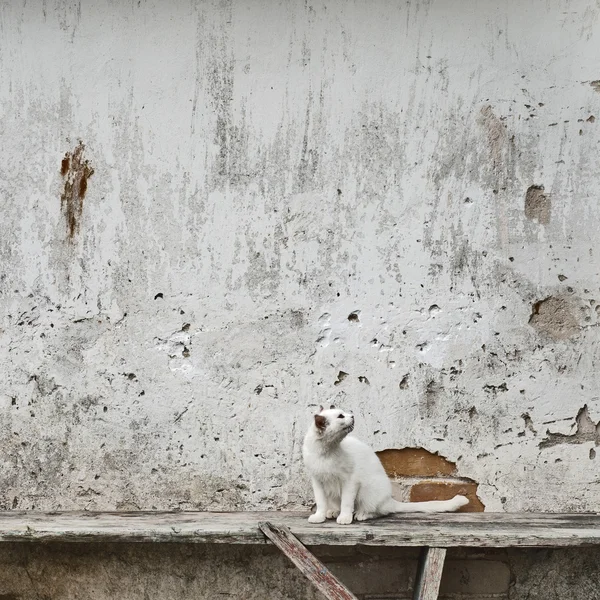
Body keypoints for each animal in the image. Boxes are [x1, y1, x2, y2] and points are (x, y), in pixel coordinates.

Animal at [304, 406, 468, 524]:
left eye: (343, 413)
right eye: (341, 416)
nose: (352, 415)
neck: (326, 452)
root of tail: (390, 500)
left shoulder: (350, 481)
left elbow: (346, 502)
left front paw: (345, 518)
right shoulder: (317, 481)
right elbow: (321, 502)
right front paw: (319, 516)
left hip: (368, 490)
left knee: (378, 511)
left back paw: (361, 514)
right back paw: (333, 512)